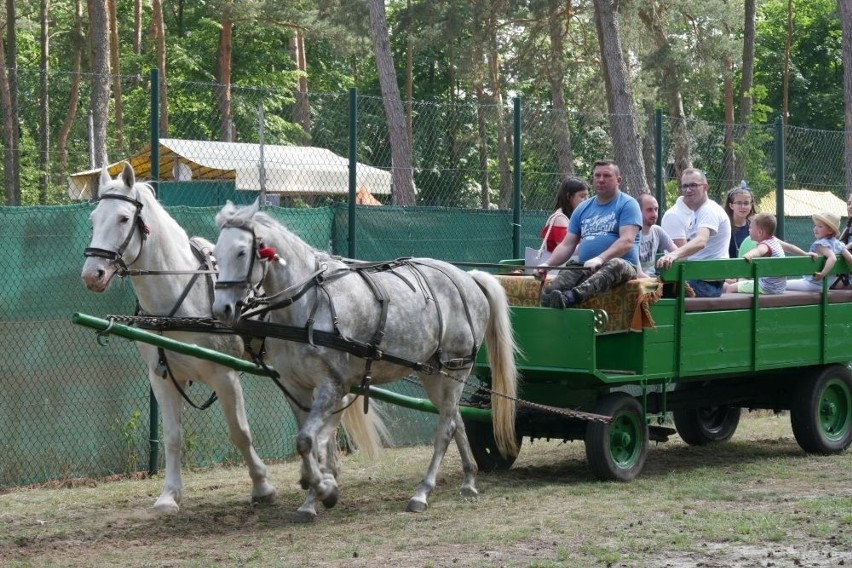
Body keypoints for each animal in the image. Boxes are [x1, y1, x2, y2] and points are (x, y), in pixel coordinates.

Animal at [79, 161, 380, 516]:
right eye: (93, 219)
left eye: (124, 218)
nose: (92, 274)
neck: (180, 297)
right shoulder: (161, 377)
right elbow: (172, 436)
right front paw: (169, 496)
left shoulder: (224, 375)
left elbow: (240, 433)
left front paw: (262, 486)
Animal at [213, 201, 520, 520]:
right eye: (215, 254)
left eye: (241, 252)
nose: (222, 309)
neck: (309, 304)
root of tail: (468, 278)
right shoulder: (296, 386)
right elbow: (310, 442)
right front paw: (314, 495)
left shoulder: (332, 385)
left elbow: (308, 440)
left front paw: (324, 488)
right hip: (435, 373)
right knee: (456, 419)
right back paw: (469, 480)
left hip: (452, 369)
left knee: (445, 429)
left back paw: (422, 492)